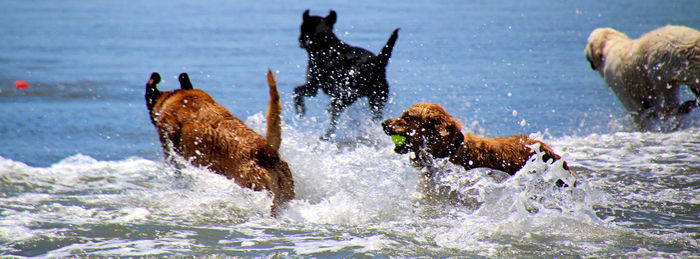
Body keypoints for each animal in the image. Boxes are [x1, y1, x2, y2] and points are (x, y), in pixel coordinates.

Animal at [292, 9, 400, 140]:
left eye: (302, 27)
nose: (300, 41)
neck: (324, 44)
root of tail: (378, 63)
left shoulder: (312, 87)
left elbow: (296, 91)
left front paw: (300, 110)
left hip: (345, 95)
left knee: (333, 115)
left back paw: (325, 135)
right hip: (377, 99)